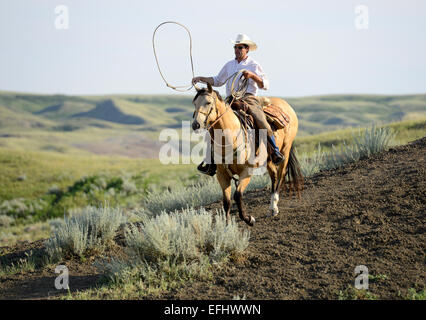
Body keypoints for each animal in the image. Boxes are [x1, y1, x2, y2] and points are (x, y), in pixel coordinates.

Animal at [191, 82, 302, 228]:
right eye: (194, 103)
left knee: (281, 174)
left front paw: (249, 219)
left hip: (285, 149)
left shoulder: (247, 172)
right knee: (273, 176)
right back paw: (271, 208)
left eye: (208, 102)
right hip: (268, 159)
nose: (196, 125)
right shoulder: (222, 175)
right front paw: (227, 228)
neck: (230, 138)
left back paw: (274, 207)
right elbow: (226, 201)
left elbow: (238, 195)